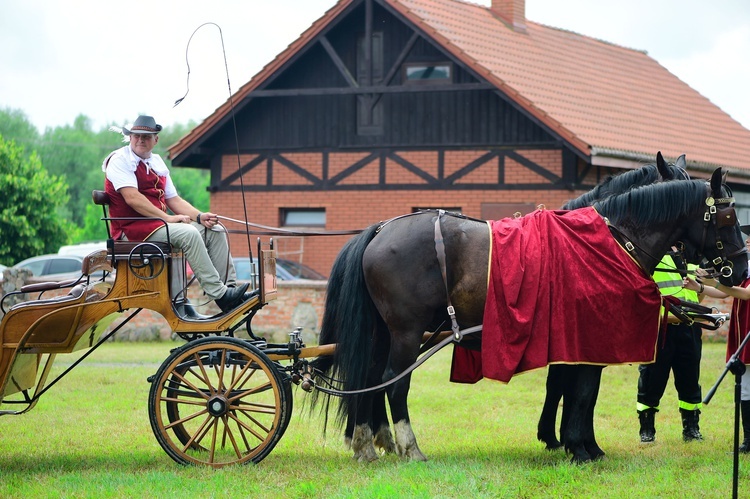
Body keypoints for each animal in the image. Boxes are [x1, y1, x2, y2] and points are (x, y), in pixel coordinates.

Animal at [310, 168, 748, 464]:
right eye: (728, 216)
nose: (739, 270)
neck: (610, 240)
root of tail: (381, 229)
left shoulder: (574, 343)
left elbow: (571, 391)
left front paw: (573, 443)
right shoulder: (588, 338)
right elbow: (582, 393)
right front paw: (579, 447)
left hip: (383, 333)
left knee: (367, 379)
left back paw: (368, 443)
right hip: (406, 331)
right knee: (393, 382)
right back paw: (408, 446)